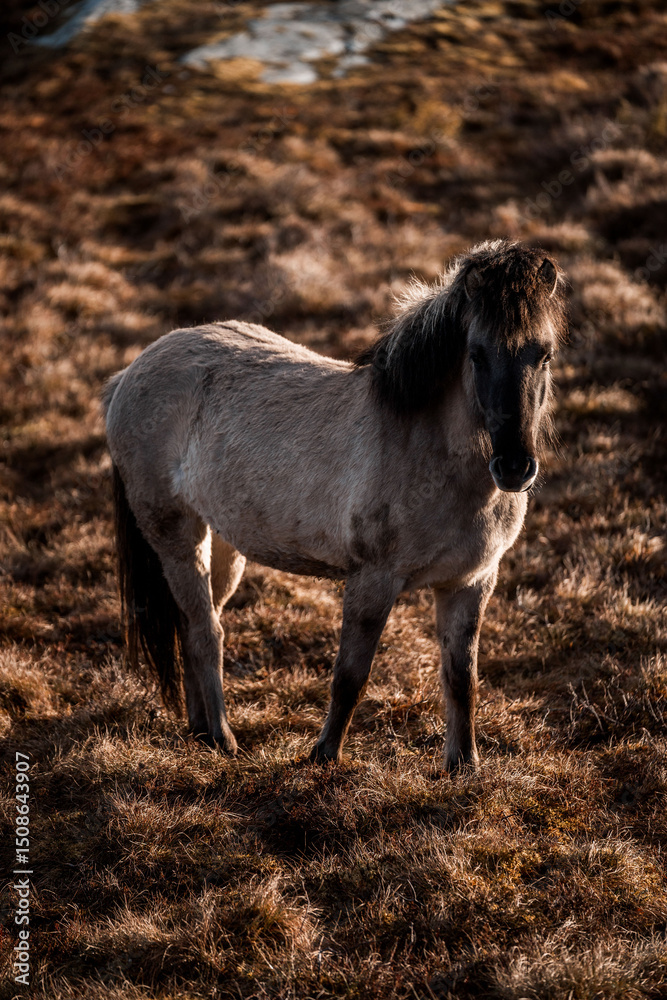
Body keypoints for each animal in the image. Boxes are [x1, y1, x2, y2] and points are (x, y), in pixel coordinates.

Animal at [103, 239, 566, 771]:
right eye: (476, 354)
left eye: (544, 355)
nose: (513, 467)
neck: (427, 450)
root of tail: (128, 374)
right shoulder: (372, 580)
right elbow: (350, 674)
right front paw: (323, 756)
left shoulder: (470, 583)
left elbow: (461, 679)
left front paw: (463, 765)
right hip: (176, 536)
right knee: (206, 631)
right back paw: (222, 737)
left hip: (220, 541)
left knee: (193, 619)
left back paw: (201, 730)